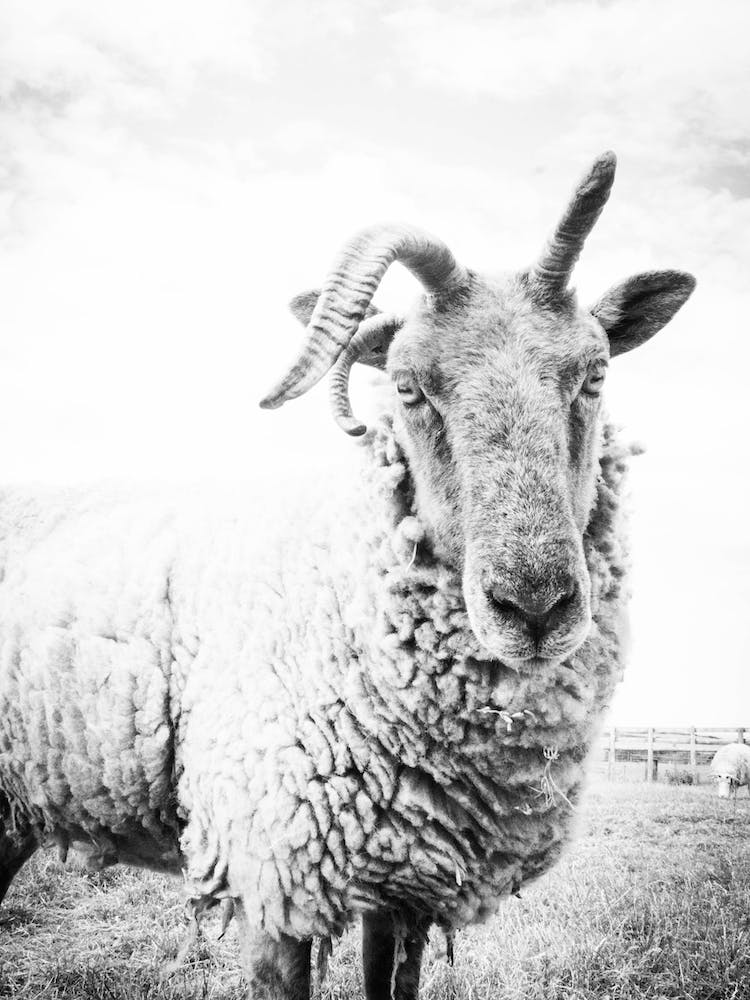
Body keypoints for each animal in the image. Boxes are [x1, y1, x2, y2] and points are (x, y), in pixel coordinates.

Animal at [0, 151, 694, 1000]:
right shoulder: (273, 864)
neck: (345, 584)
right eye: (407, 387)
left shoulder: (405, 879)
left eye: (594, 375)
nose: (534, 607)